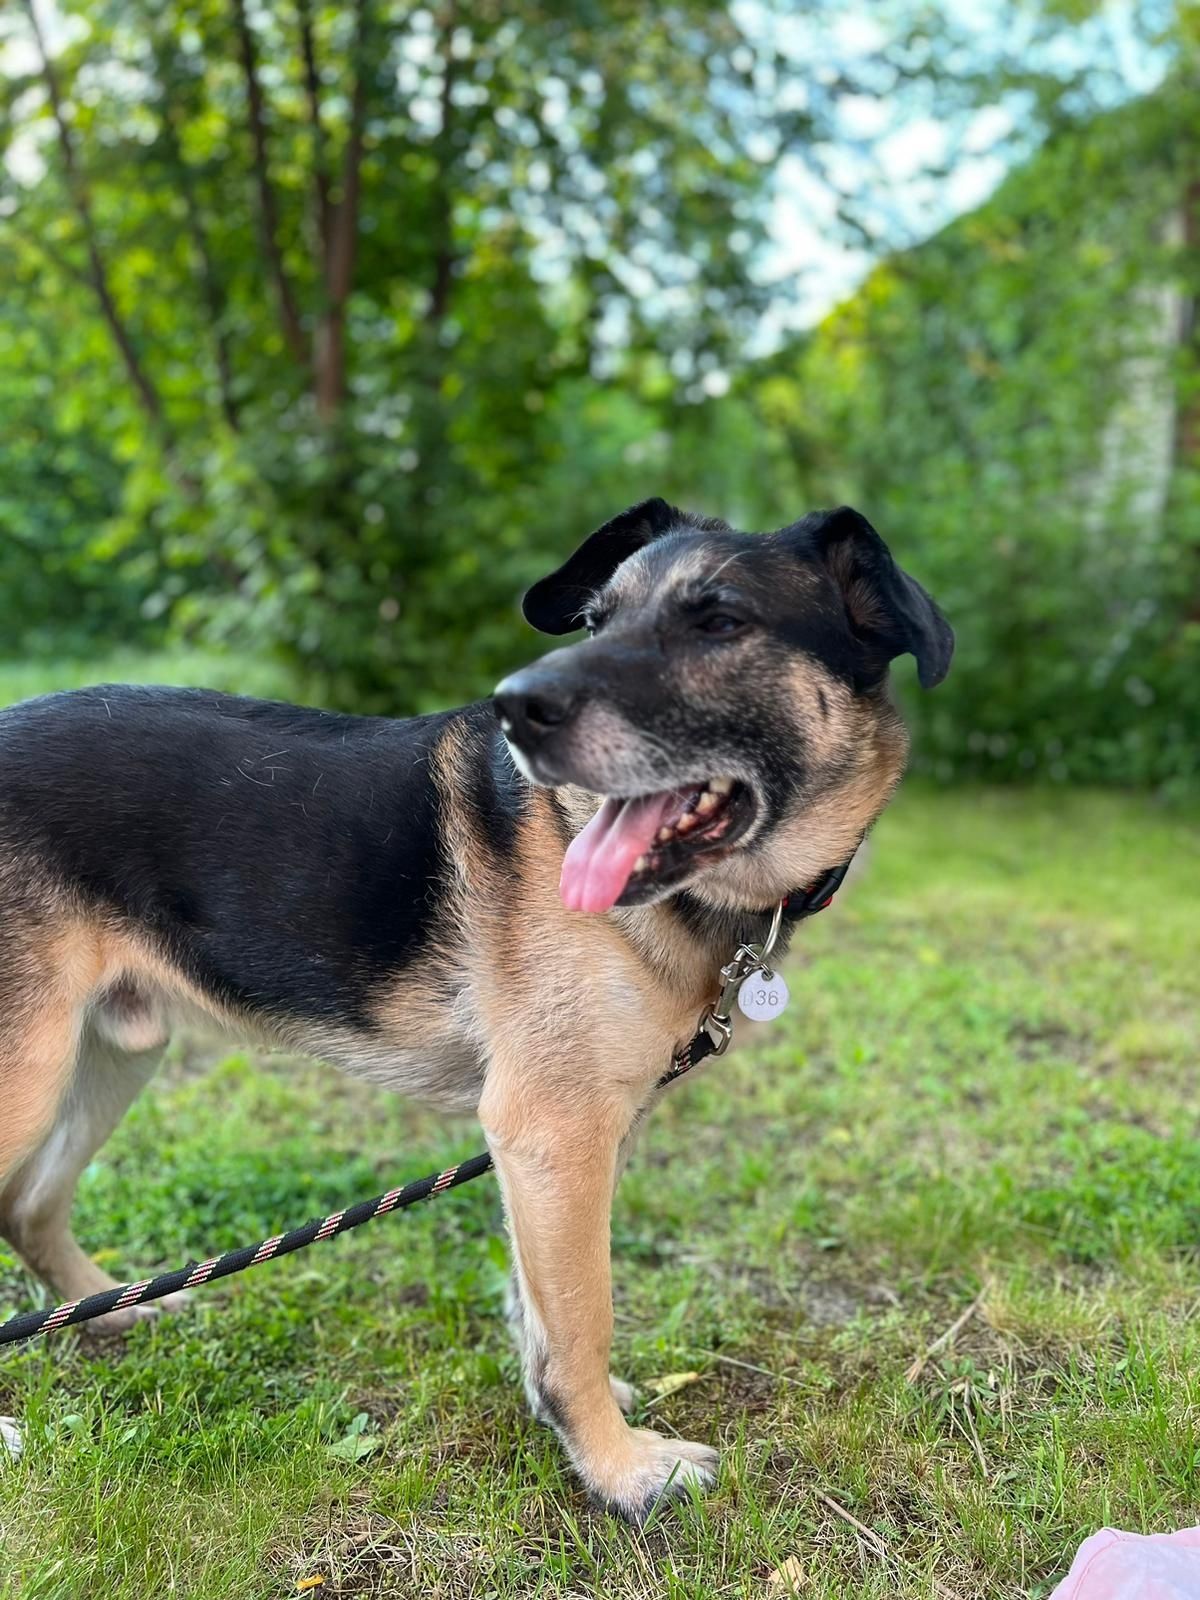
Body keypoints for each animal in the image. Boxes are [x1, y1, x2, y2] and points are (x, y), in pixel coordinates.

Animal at [0, 505, 960, 1516]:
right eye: (594, 619)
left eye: (722, 622)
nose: (516, 707)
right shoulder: (553, 1131)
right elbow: (583, 1318)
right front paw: (619, 1471)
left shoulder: (567, 1143)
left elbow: (543, 1313)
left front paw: (565, 1424)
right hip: (30, 1069)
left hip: (109, 1053)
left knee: (28, 1203)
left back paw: (115, 1310)